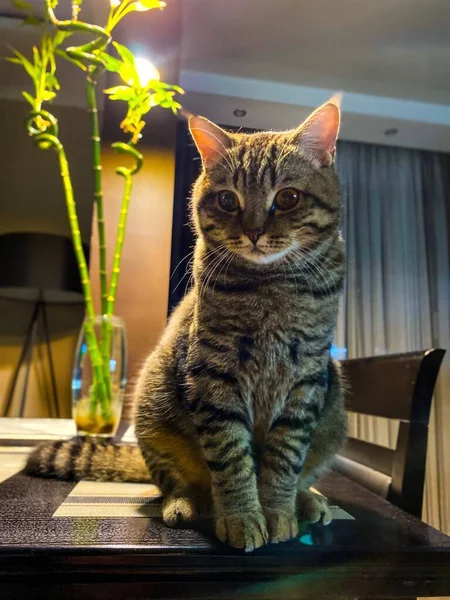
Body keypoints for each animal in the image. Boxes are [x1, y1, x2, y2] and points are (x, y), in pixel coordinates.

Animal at [26, 96, 346, 552]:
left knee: (305, 470)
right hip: (152, 406)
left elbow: (286, 457)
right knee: (177, 480)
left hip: (334, 410)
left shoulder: (307, 377)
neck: (272, 286)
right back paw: (184, 503)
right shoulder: (214, 374)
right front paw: (243, 517)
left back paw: (310, 500)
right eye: (228, 201)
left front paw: (279, 511)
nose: (253, 232)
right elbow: (230, 458)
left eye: (287, 198)